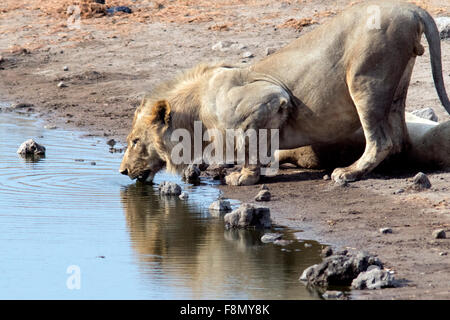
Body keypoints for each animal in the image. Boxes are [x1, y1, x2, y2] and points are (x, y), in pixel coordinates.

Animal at [119, 0, 450, 185]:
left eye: (135, 141)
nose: (121, 171)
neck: (196, 113)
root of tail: (411, 8)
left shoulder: (270, 98)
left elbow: (250, 145)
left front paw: (243, 177)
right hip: (396, 87)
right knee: (399, 140)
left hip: (364, 79)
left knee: (382, 141)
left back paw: (349, 172)